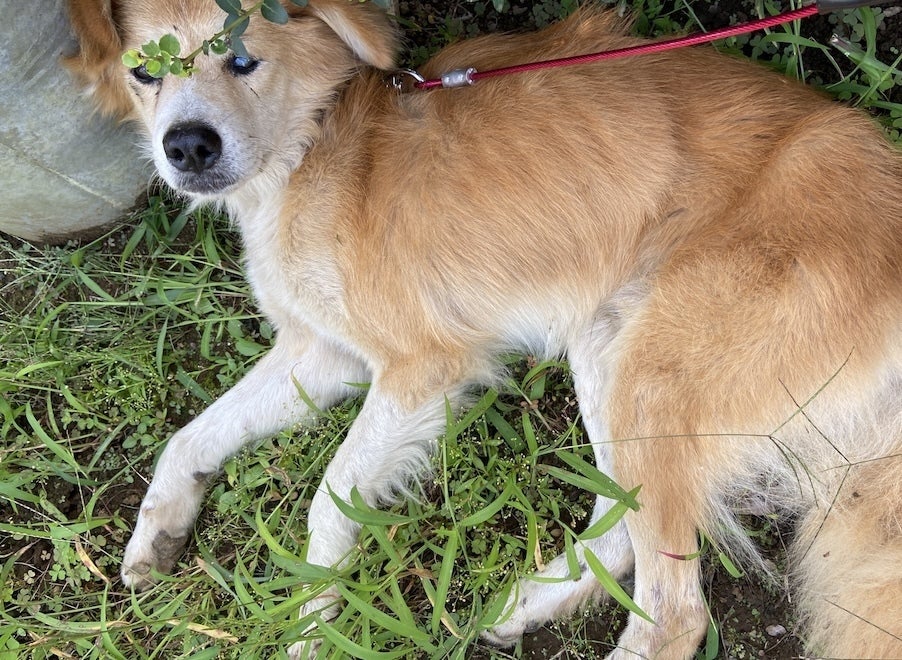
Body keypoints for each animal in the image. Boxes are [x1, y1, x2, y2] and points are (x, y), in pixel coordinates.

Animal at [66, 0, 902, 657]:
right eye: (145, 74)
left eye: (243, 59)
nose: (187, 147)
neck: (313, 146)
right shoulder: (324, 354)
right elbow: (189, 438)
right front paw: (158, 532)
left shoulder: (422, 368)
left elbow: (330, 496)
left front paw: (311, 618)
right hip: (608, 346)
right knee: (623, 530)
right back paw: (527, 602)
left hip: (654, 376)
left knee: (676, 615)